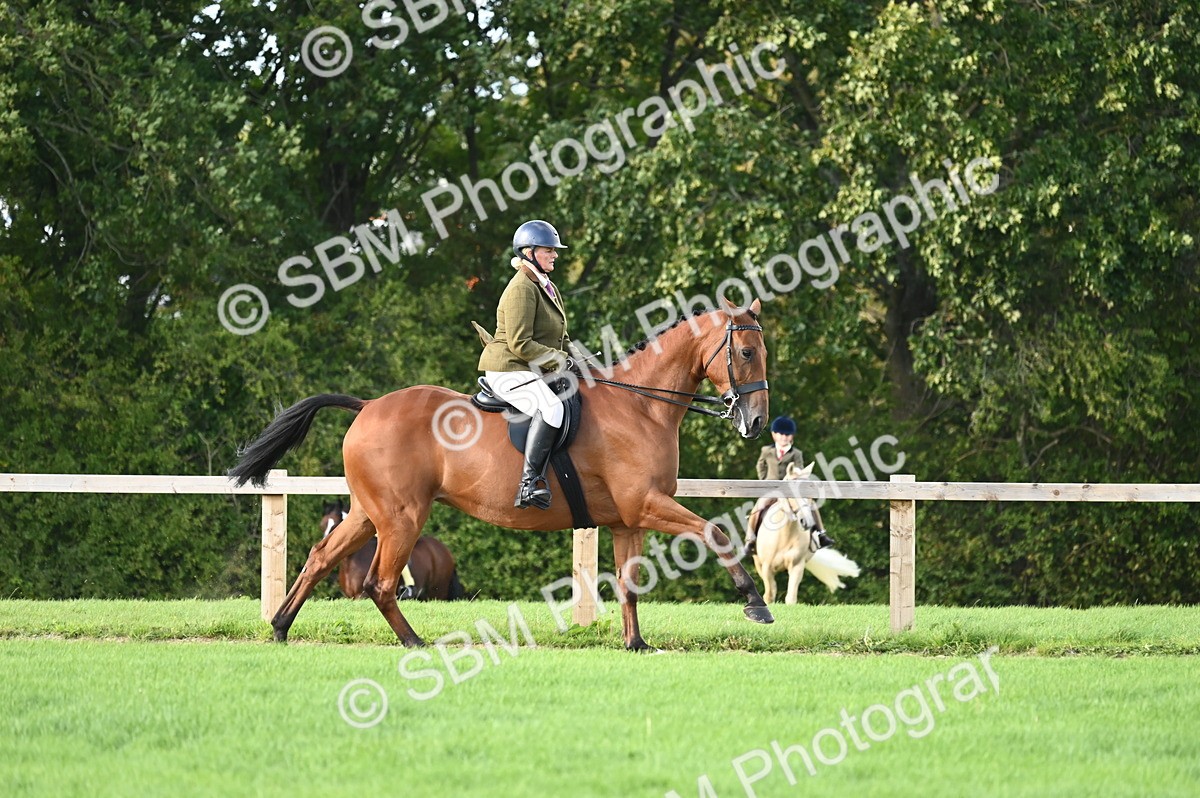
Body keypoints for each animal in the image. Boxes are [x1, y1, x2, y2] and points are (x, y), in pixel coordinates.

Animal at [320, 502, 465, 601]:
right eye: (323, 524)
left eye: (335, 524)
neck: (353, 561)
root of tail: (445, 551)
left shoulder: (363, 596)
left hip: (437, 592)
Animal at [751, 462, 861, 603]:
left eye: (809, 493)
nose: (807, 522)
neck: (785, 535)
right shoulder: (766, 568)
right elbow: (769, 595)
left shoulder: (797, 566)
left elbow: (791, 598)